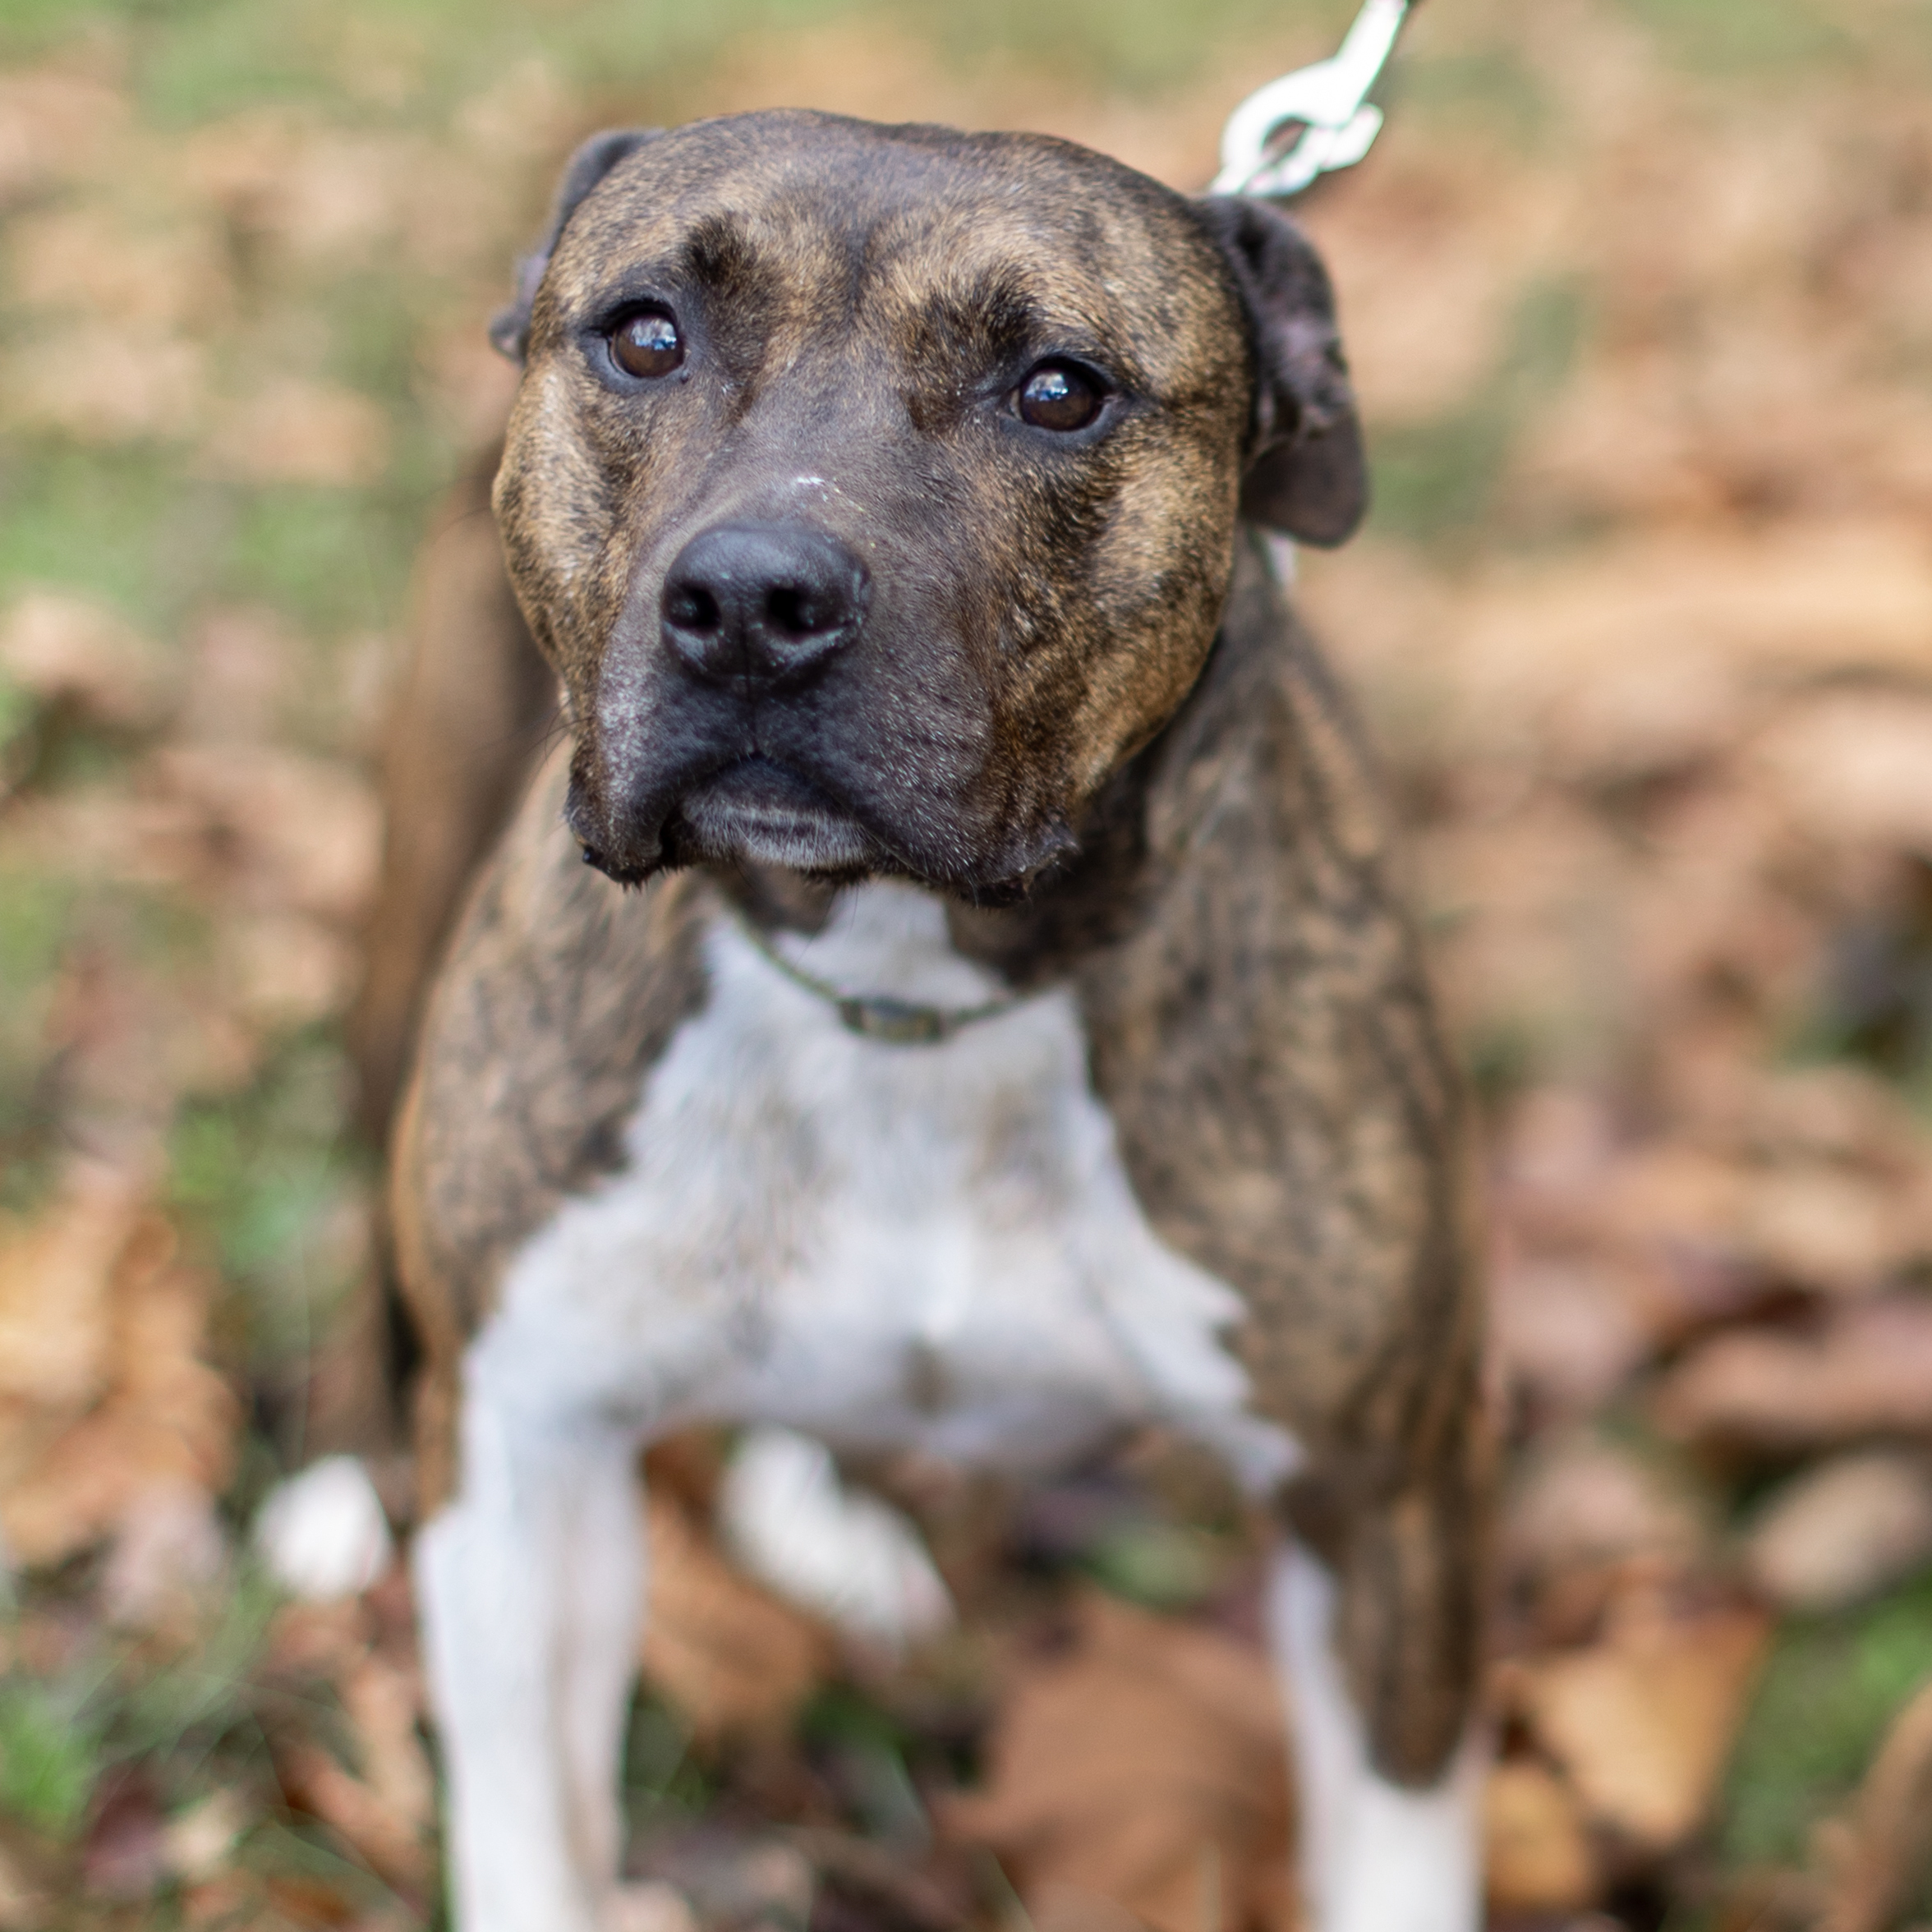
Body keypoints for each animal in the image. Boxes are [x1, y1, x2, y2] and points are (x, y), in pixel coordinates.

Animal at [380, 113, 1491, 1932]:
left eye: (1059, 390)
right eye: (644, 335)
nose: (751, 596)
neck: (910, 986)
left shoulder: (1383, 1496)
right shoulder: (524, 1446)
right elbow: (528, 1832)